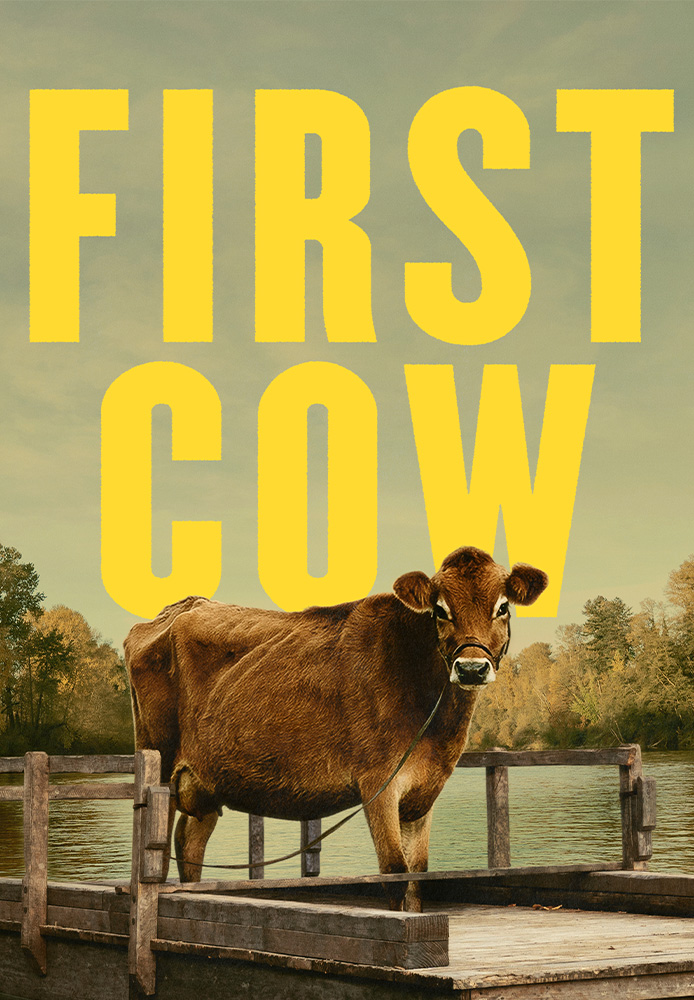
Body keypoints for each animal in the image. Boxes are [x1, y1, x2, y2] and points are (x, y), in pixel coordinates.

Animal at [124, 546, 547, 910]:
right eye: (440, 610)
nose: (471, 668)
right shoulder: (378, 782)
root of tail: (180, 608)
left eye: (503, 606)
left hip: (207, 781)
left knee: (190, 843)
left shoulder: (423, 792)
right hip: (160, 762)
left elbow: (418, 877)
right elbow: (394, 873)